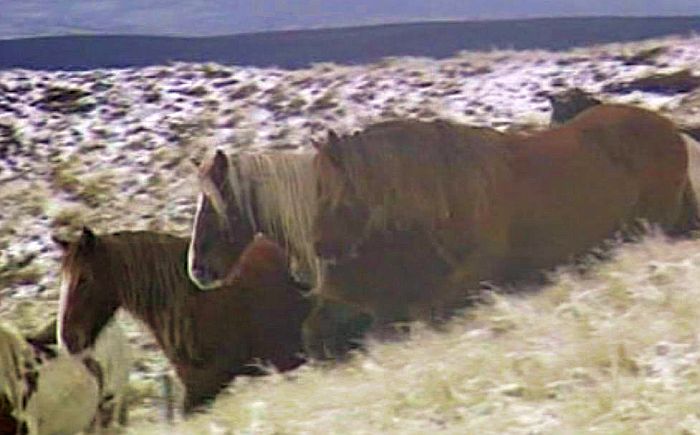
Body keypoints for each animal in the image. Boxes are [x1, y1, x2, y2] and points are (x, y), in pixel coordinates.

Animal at [311, 104, 698, 333]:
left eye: (333, 195)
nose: (320, 248)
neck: (456, 189)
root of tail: (670, 128)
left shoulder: (478, 270)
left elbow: (432, 309)